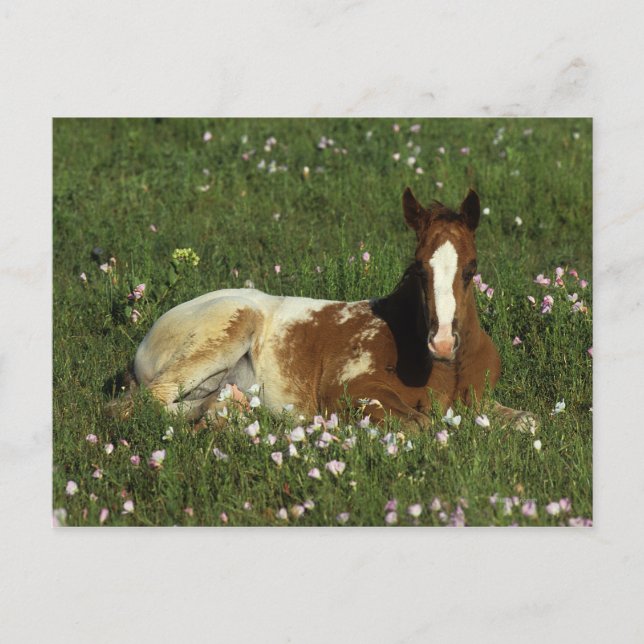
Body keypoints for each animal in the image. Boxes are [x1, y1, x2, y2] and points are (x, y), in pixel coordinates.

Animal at [107, 188, 535, 431]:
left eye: (471, 269)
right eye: (417, 268)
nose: (443, 342)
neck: (445, 369)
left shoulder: (480, 401)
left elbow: (528, 422)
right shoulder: (347, 389)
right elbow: (420, 425)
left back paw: (235, 409)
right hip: (231, 324)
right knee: (140, 404)